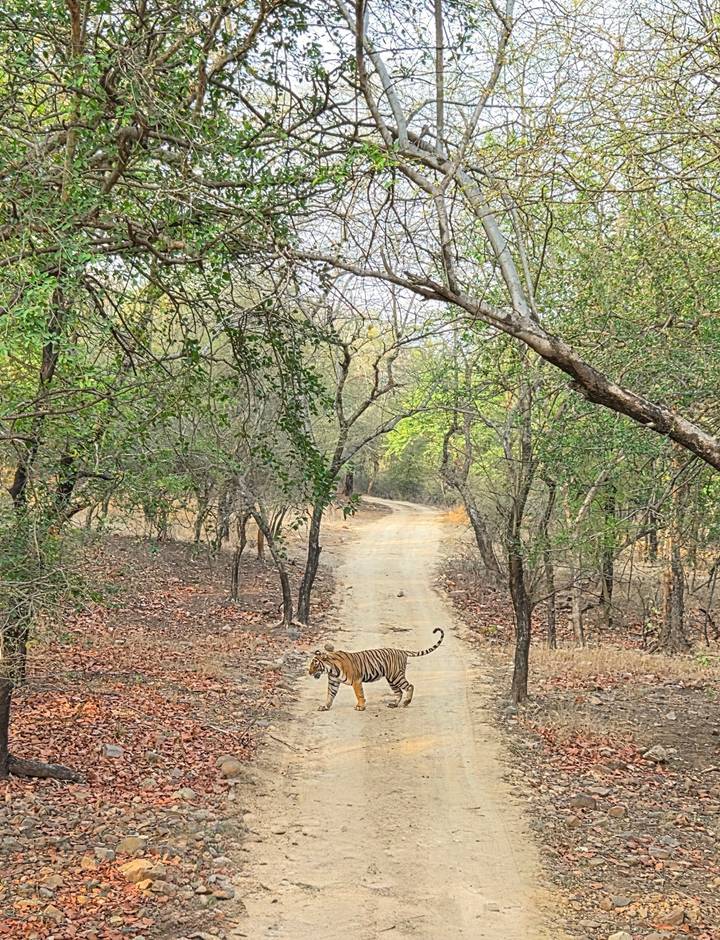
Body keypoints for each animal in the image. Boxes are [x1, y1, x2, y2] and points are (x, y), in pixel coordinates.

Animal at [308, 628, 445, 712]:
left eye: (315, 665)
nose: (309, 672)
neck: (331, 669)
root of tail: (401, 651)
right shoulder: (333, 682)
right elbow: (330, 695)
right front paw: (325, 706)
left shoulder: (356, 681)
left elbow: (359, 694)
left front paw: (360, 707)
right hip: (391, 679)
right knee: (399, 692)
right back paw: (394, 704)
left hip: (396, 676)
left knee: (410, 686)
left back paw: (406, 702)